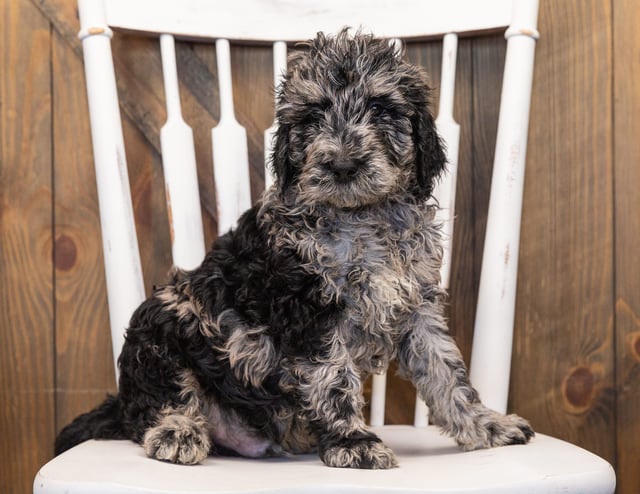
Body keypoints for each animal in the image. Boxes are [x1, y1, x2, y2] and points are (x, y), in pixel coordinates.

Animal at [56, 29, 536, 468]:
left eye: (380, 109)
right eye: (313, 115)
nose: (342, 165)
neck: (360, 218)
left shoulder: (416, 307)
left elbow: (446, 372)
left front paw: (486, 424)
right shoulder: (308, 308)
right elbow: (334, 377)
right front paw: (353, 442)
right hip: (162, 320)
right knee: (157, 400)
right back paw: (177, 430)